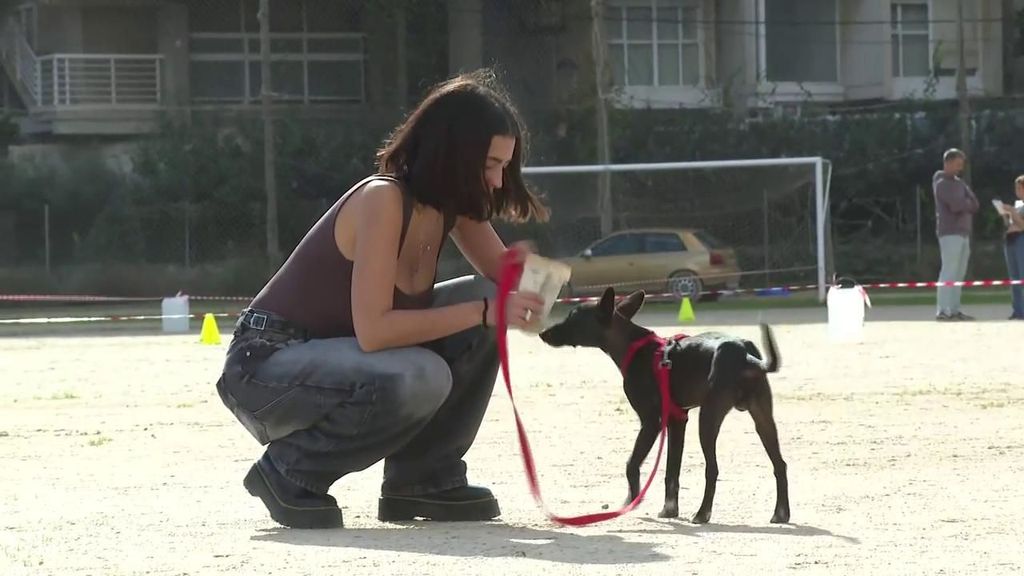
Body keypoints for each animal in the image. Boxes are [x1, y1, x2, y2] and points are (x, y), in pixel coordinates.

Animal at [540, 284, 786, 522]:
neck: (635, 347)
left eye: (572, 318)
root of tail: (745, 354)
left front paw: (632, 500)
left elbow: (632, 464)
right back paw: (781, 513)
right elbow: (672, 470)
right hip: (764, 420)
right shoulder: (677, 421)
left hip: (708, 420)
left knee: (713, 469)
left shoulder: (651, 422)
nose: (542, 333)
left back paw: (702, 513)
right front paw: (669, 509)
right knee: (780, 464)